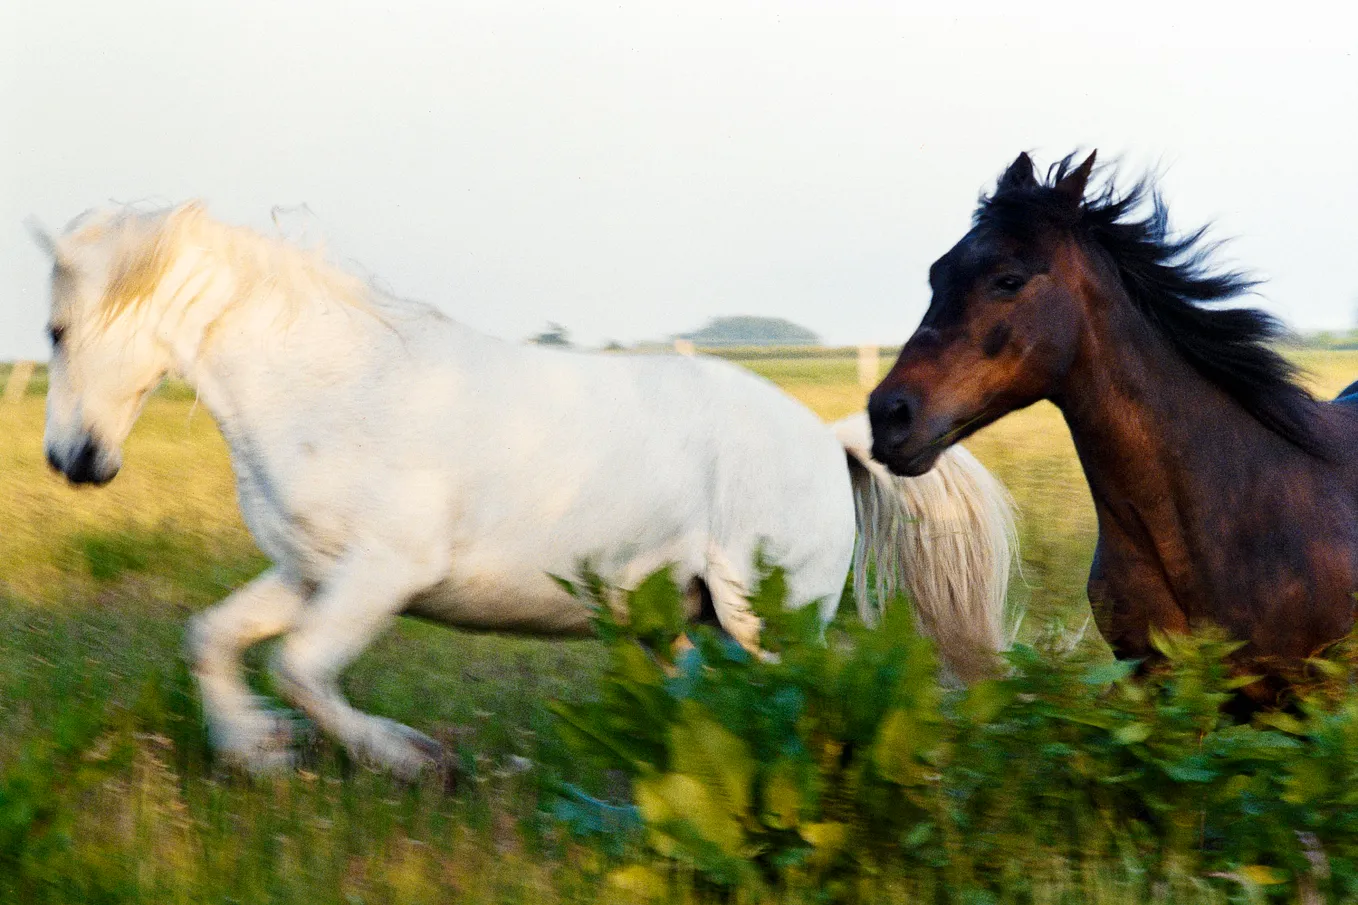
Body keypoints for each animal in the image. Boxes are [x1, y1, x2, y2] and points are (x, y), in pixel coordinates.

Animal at [34, 203, 1021, 777]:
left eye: (54, 329)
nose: (72, 459)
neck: (335, 386)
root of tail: (827, 440)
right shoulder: (308, 573)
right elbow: (213, 639)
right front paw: (260, 751)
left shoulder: (381, 574)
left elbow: (301, 669)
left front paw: (410, 759)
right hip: (684, 617)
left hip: (765, 619)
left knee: (796, 703)